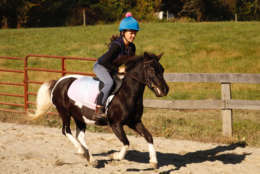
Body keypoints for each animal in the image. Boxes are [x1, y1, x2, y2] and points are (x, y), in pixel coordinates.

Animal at [29, 52, 170, 169]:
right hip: (64, 112)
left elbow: (149, 137)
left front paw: (153, 161)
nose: (165, 90)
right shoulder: (115, 124)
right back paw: (82, 151)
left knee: (79, 135)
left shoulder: (134, 122)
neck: (126, 93)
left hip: (79, 116)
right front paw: (116, 156)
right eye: (152, 69)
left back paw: (91, 159)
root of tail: (59, 82)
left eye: (162, 69)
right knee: (66, 130)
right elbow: (126, 142)